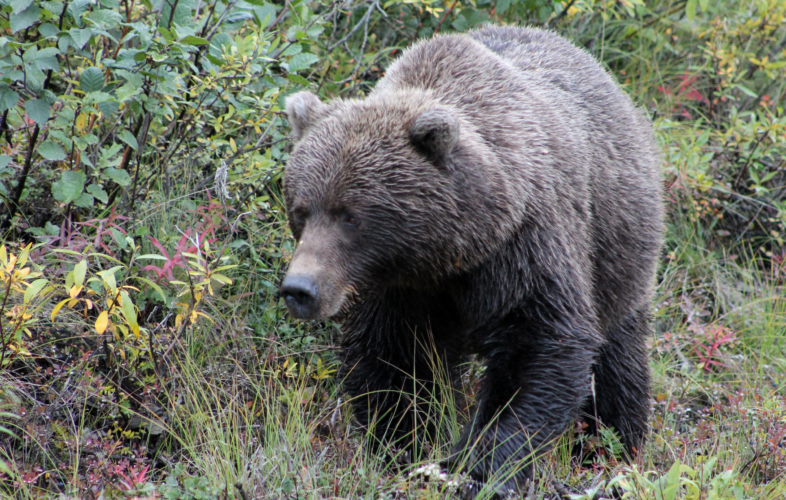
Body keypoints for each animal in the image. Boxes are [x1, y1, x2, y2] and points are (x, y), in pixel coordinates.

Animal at [278, 26, 660, 492]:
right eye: (301, 210)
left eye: (350, 216)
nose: (300, 289)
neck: (445, 255)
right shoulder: (398, 289)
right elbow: (399, 362)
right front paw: (404, 445)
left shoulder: (524, 247)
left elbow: (537, 347)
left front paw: (482, 463)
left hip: (617, 249)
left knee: (617, 358)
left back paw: (613, 444)